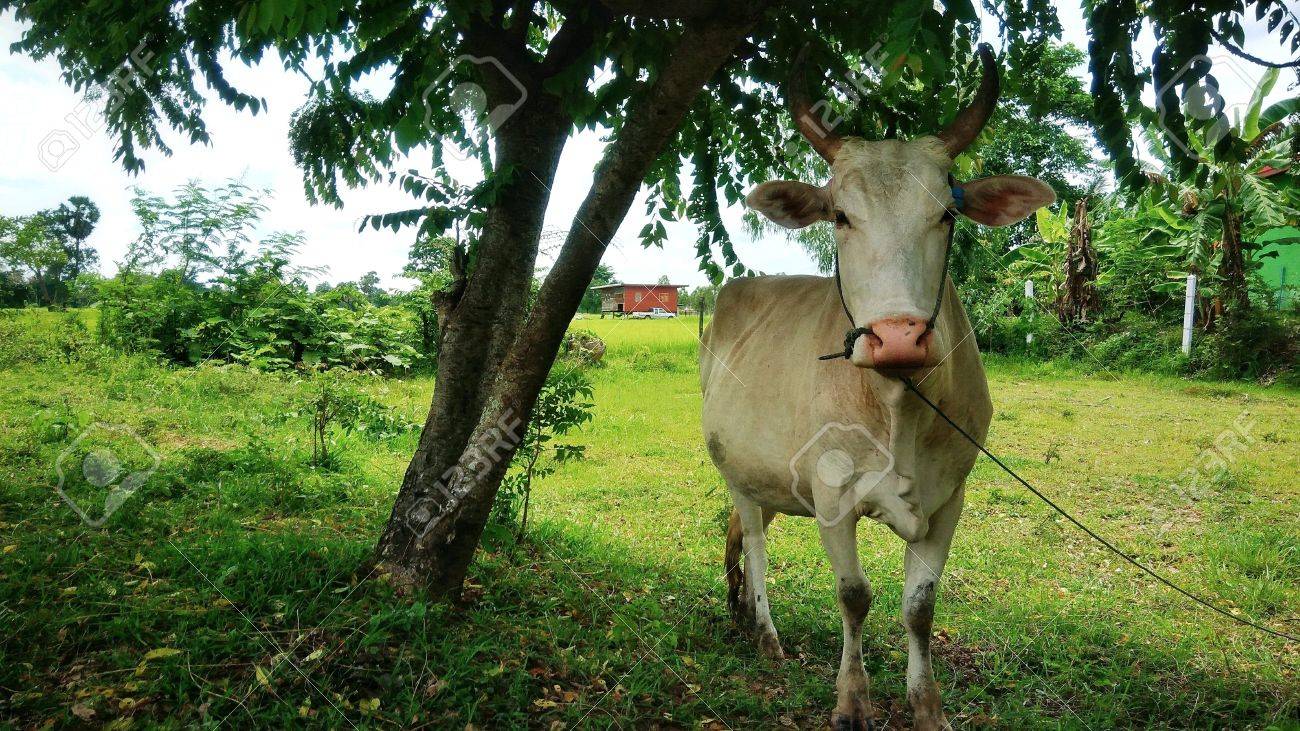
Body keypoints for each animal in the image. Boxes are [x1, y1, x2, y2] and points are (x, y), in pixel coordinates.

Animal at [702, 46, 1055, 728]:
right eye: (840, 216)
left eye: (946, 213)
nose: (897, 338)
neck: (897, 409)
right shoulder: (831, 495)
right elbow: (854, 595)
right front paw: (851, 700)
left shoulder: (949, 500)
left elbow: (919, 607)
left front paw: (926, 705)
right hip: (734, 468)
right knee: (754, 539)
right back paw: (765, 631)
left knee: (745, 531)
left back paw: (742, 612)